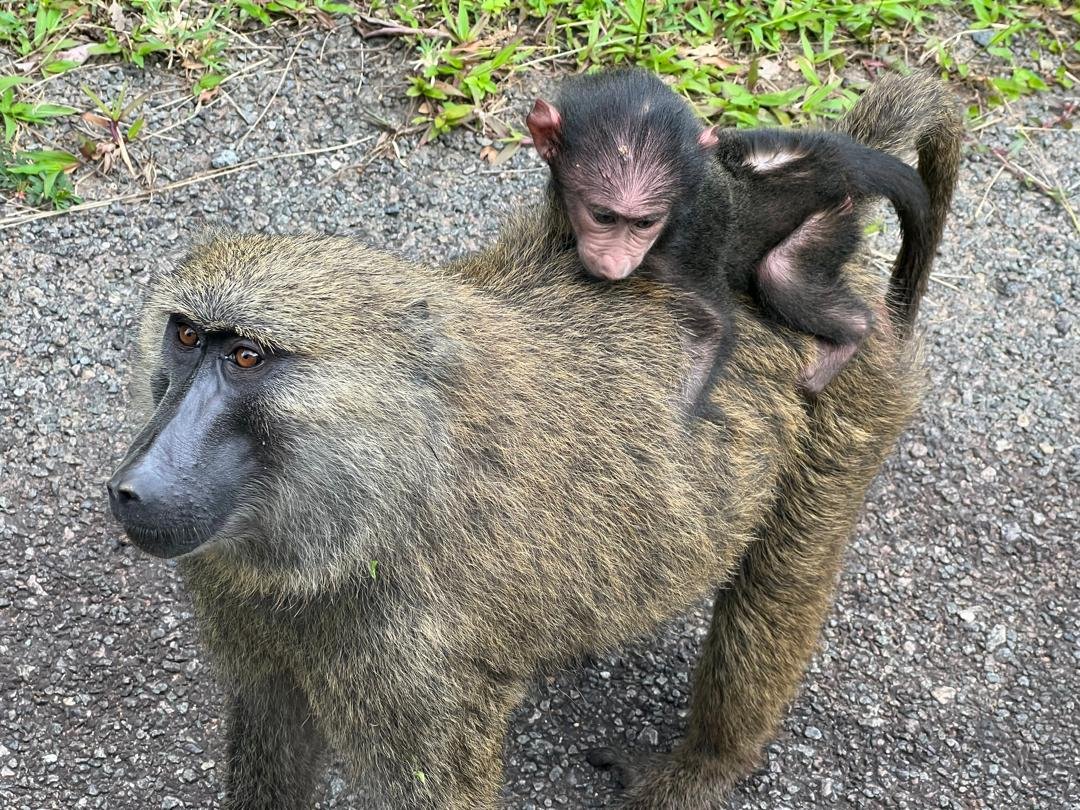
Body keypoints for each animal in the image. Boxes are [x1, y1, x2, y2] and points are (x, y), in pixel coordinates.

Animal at [526, 68, 935, 395]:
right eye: (602, 216)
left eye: (644, 223)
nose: (613, 265)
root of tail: (834, 162)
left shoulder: (685, 247)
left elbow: (716, 328)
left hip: (834, 215)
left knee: (780, 273)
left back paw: (851, 337)